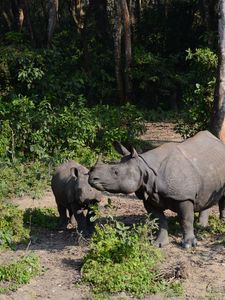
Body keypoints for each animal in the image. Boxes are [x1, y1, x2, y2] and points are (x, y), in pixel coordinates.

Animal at [89, 131, 225, 248]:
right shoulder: (149, 197)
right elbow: (160, 221)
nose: (91, 178)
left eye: (115, 172)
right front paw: (159, 244)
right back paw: (202, 226)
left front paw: (188, 245)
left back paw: (220, 222)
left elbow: (186, 219)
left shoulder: (183, 197)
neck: (144, 168)